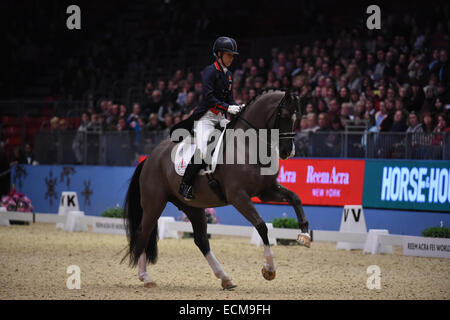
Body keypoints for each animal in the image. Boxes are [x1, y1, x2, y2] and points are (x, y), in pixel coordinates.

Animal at [121, 88, 310, 290]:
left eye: (298, 117)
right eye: (284, 115)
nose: (288, 152)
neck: (248, 146)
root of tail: (149, 158)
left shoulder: (266, 191)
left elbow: (295, 198)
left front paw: (304, 236)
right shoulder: (238, 196)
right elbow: (261, 226)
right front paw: (269, 269)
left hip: (193, 207)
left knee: (201, 240)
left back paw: (225, 278)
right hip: (154, 204)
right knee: (143, 232)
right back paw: (145, 277)